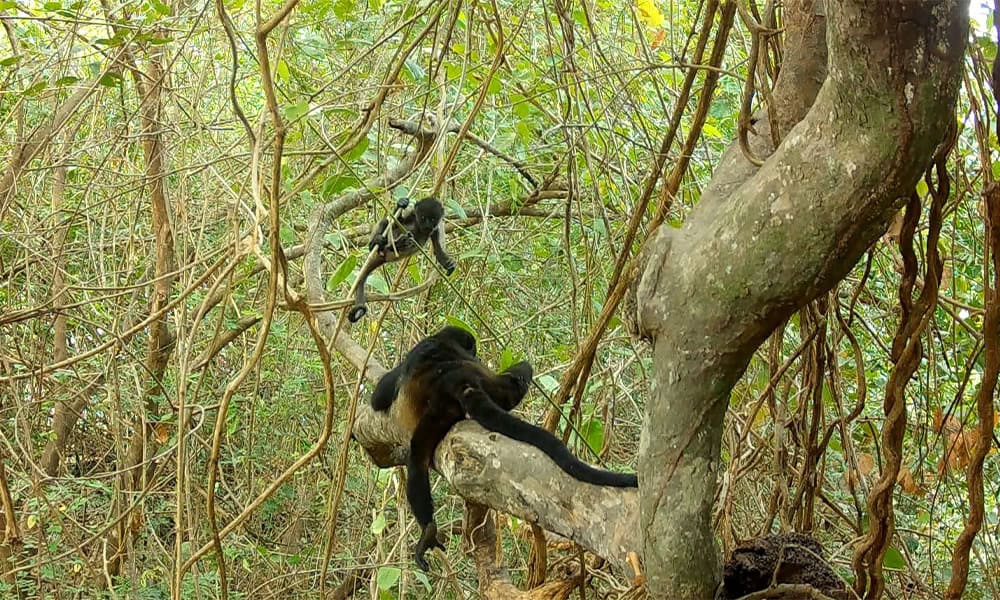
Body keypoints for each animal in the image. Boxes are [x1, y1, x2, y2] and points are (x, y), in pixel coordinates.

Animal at [372, 326, 636, 568]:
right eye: (473, 349)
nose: (478, 357)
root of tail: (460, 381)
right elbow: (379, 397)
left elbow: (378, 396)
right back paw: (428, 532)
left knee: (417, 459)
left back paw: (427, 530)